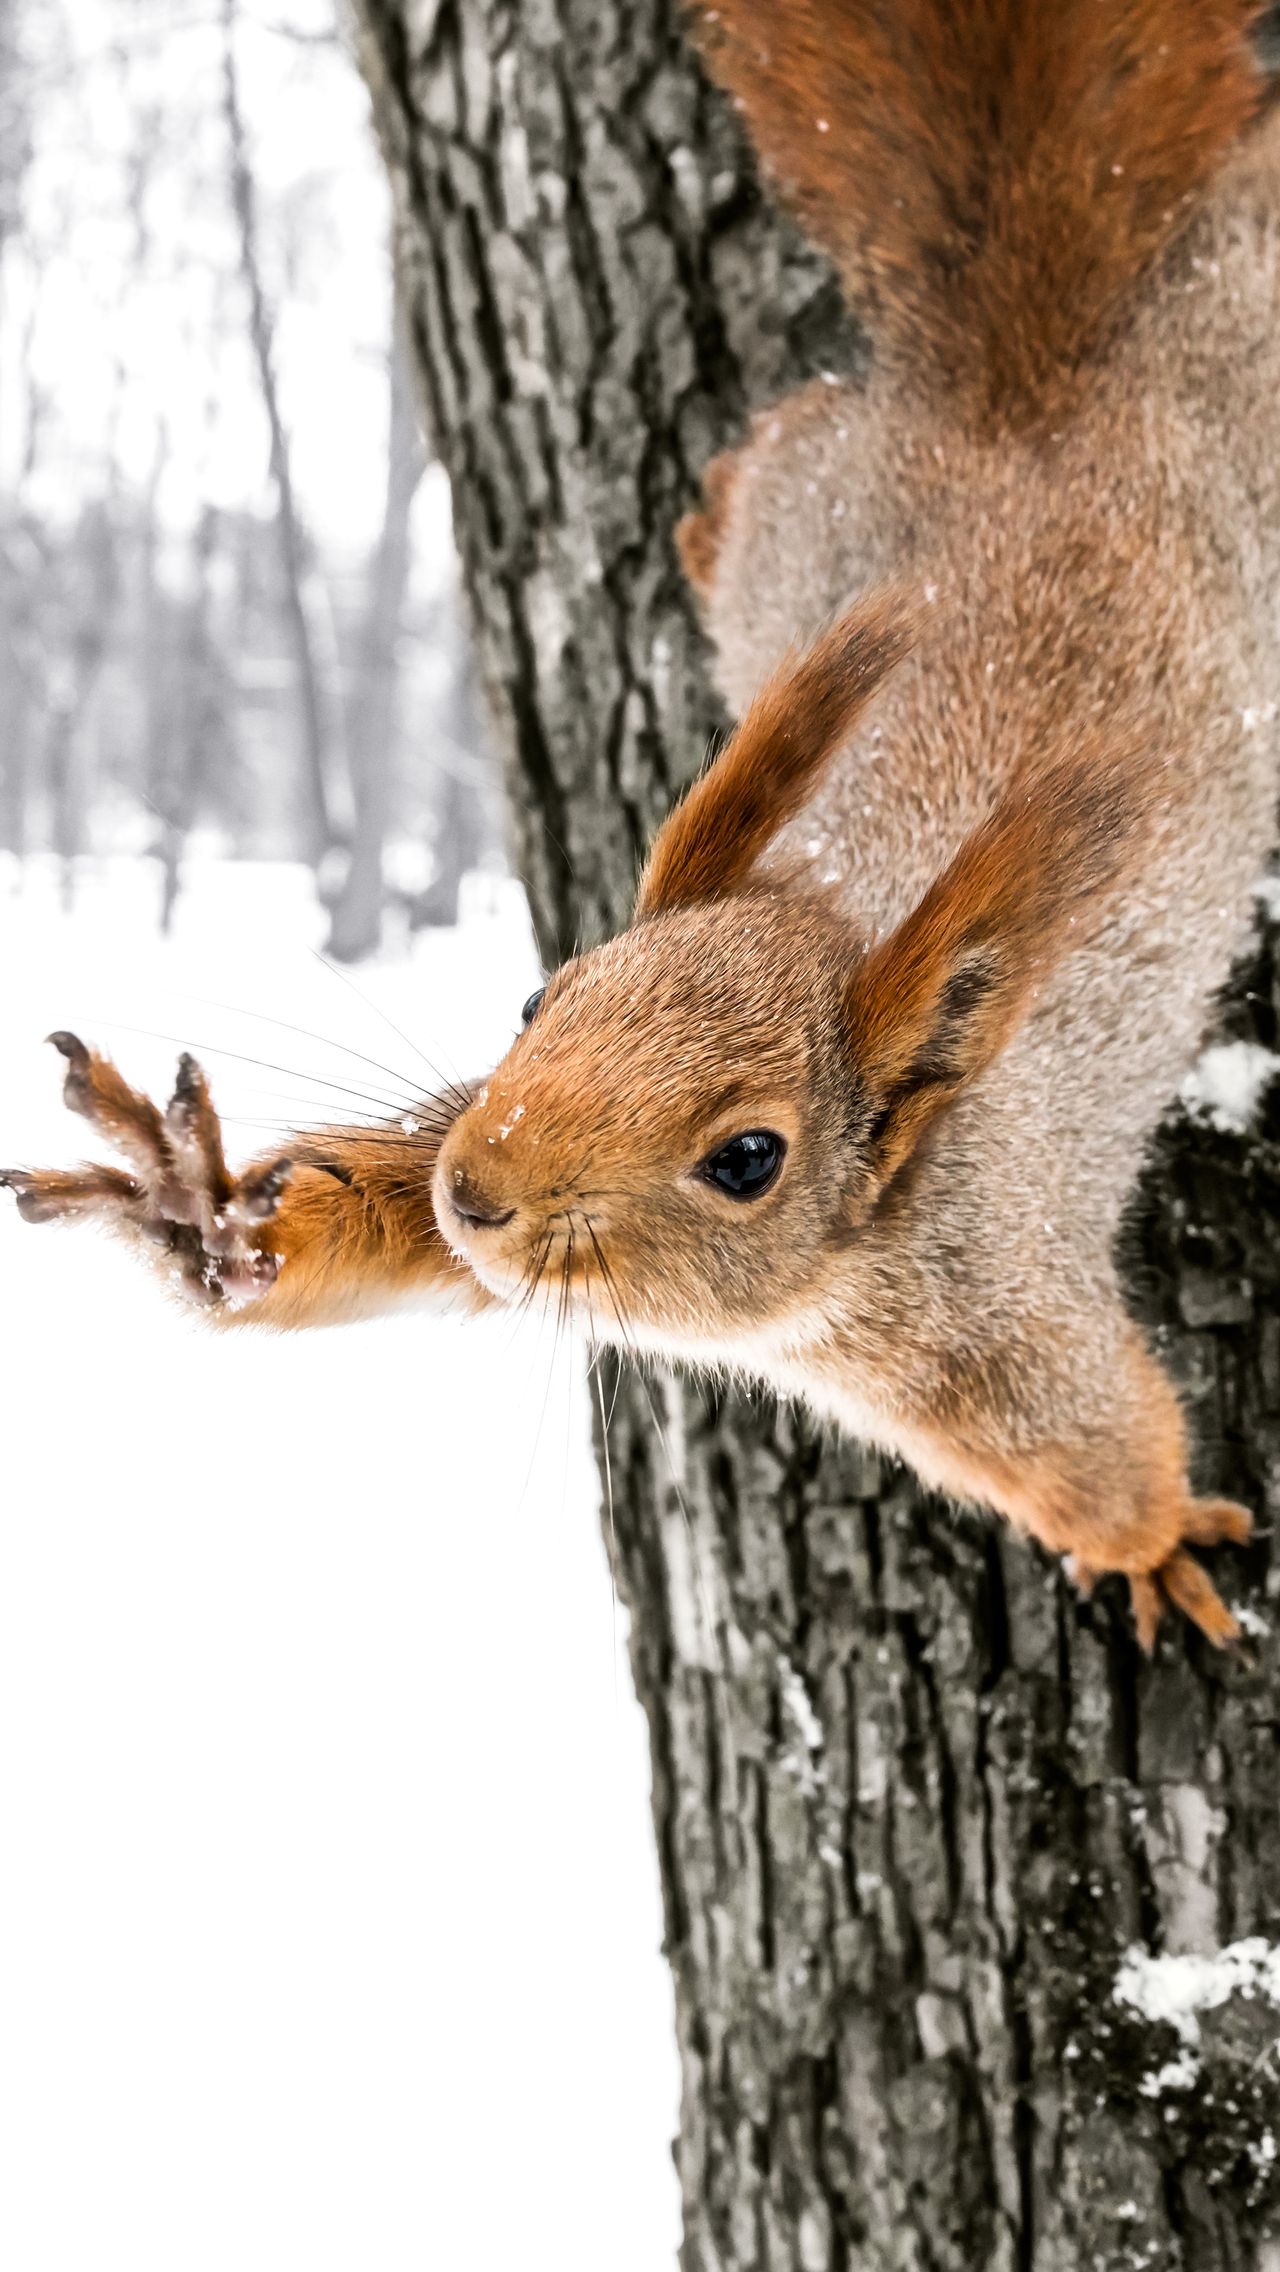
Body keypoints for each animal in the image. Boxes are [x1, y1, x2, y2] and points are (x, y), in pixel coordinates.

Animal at [5, 8, 1273, 1663]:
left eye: (747, 1159)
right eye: (540, 997)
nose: (479, 1189)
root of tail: (1027, 401)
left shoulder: (1000, 1319)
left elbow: (1098, 1451)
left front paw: (1155, 1545)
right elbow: (388, 1239)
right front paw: (206, 1220)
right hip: (808, 492)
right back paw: (699, 512)